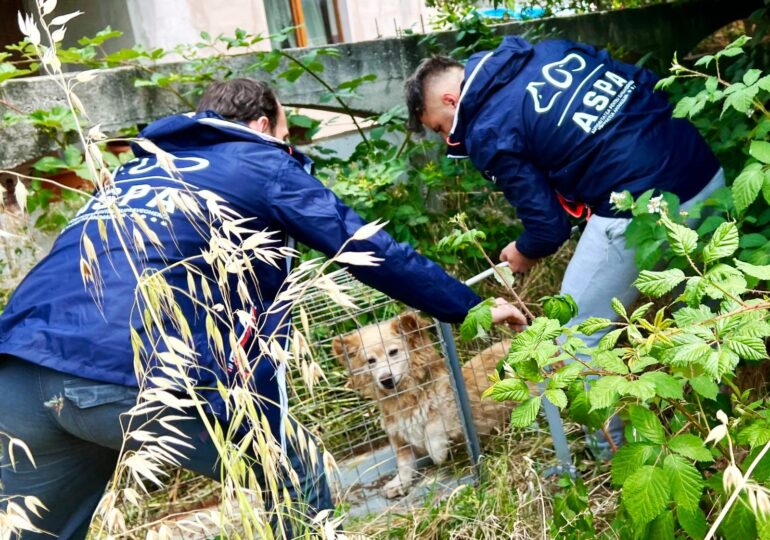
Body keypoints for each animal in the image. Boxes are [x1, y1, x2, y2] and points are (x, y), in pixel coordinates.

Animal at [330, 312, 510, 498]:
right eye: (370, 361)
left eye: (393, 352)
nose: (385, 379)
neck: (405, 400)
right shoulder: (400, 438)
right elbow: (404, 464)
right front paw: (399, 483)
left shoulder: (452, 412)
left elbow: (432, 428)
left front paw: (438, 453)